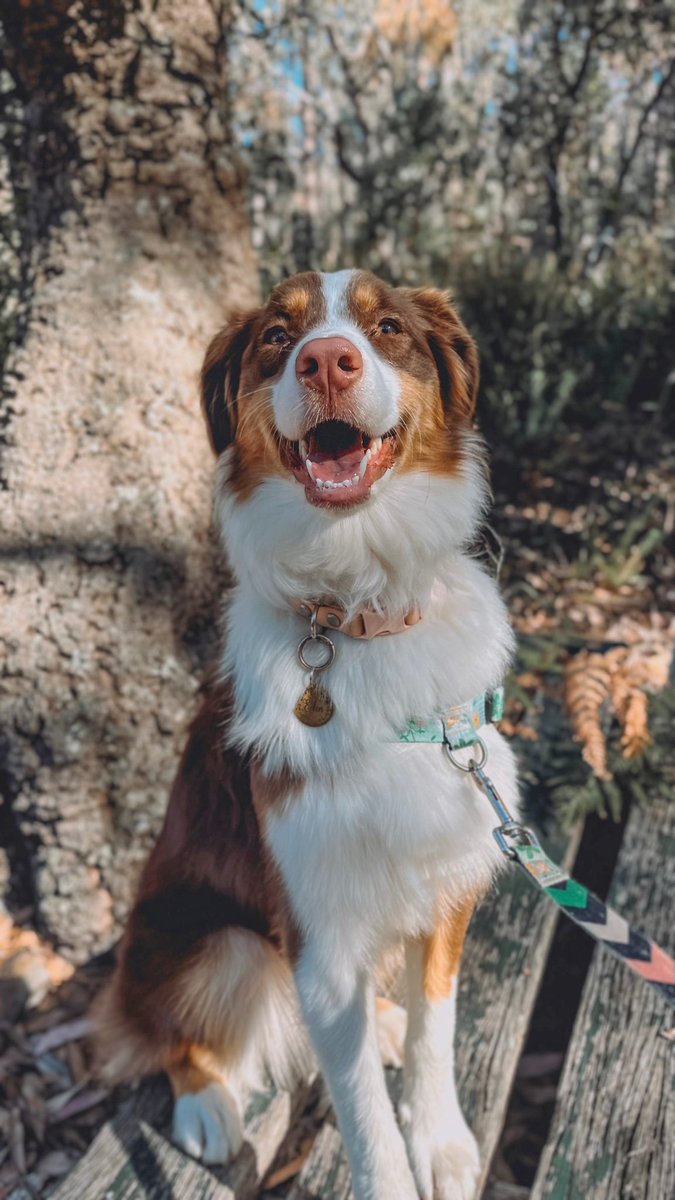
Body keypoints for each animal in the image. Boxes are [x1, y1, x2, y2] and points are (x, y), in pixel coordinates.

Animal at [93, 272, 514, 1200]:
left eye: (387, 327)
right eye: (276, 339)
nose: (326, 360)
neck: (357, 607)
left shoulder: (447, 875)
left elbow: (437, 1026)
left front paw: (440, 1140)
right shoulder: (317, 937)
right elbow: (359, 1113)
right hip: (213, 941)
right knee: (160, 1030)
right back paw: (206, 1105)